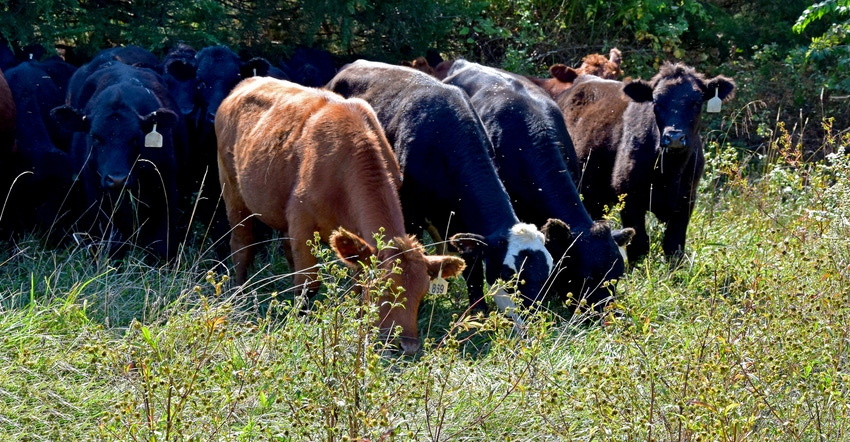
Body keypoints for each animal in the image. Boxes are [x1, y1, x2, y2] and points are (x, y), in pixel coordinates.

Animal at [51, 59, 184, 258]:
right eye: (95, 137)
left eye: (136, 137)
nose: (117, 179)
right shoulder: (96, 195)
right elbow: (110, 242)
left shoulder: (167, 188)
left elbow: (163, 244)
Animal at [212, 75, 464, 352]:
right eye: (382, 290)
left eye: (423, 293)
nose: (407, 346)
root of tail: (247, 82)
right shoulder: (302, 223)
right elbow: (308, 284)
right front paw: (301, 324)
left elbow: (355, 285)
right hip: (231, 190)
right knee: (242, 246)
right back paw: (239, 294)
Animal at [322, 59, 552, 310]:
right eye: (510, 275)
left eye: (547, 273)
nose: (534, 314)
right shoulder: (410, 213)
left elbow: (472, 269)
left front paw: (477, 311)